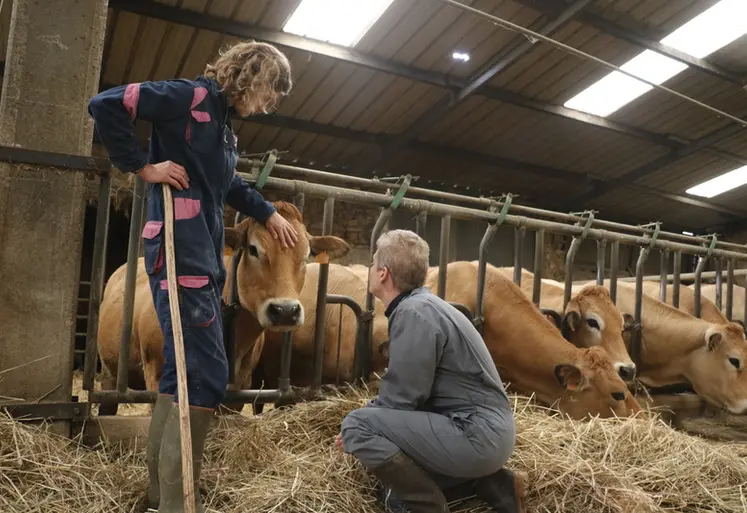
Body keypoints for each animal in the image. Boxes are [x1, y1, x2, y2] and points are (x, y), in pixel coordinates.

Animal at [94, 202, 350, 414]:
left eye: (307, 255)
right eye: (253, 249)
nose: (285, 311)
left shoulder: (240, 388)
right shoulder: (157, 376)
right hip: (109, 373)